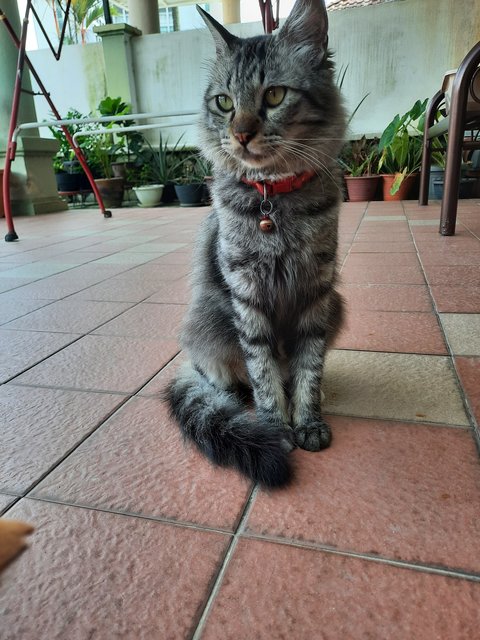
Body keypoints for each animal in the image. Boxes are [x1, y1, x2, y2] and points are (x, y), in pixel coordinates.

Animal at [165, 0, 344, 484]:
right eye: (224, 102)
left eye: (275, 96)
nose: (242, 133)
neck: (273, 198)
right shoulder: (246, 294)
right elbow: (262, 372)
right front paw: (276, 427)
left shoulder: (318, 293)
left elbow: (309, 369)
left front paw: (309, 421)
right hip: (207, 324)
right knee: (223, 380)